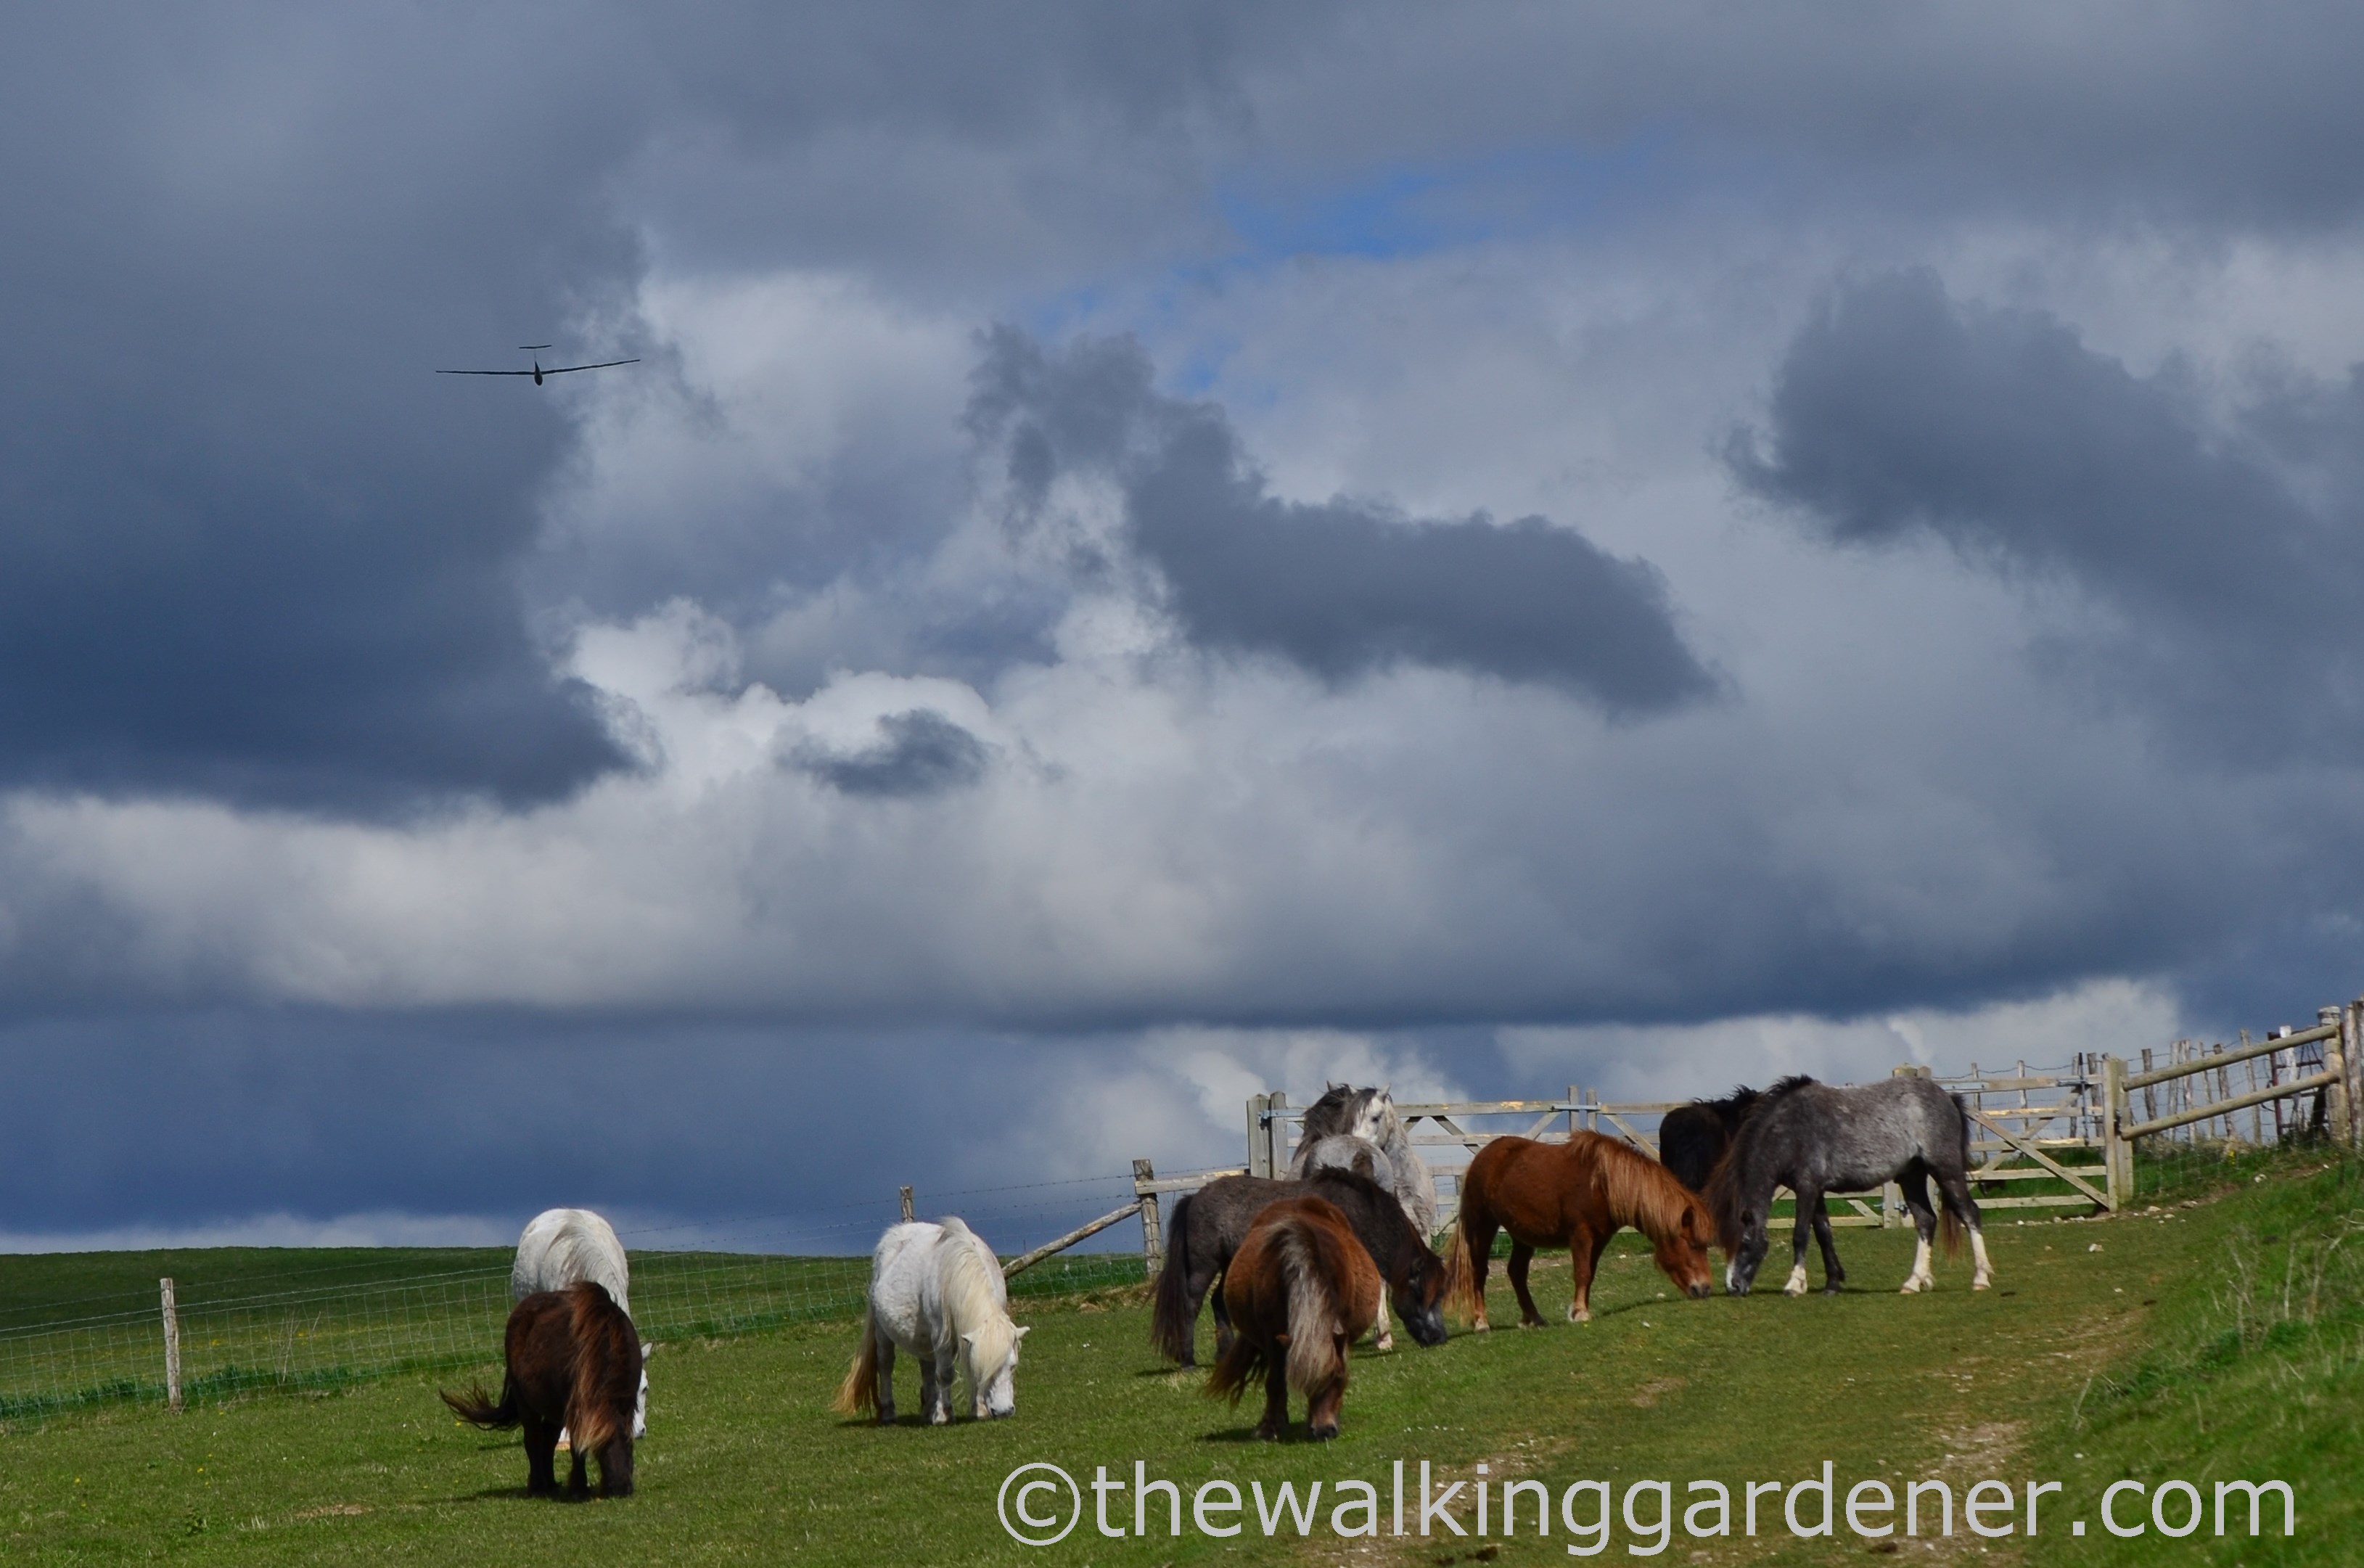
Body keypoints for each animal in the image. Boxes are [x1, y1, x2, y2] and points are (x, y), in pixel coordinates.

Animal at [442, 1282, 645, 1499]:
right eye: (601, 1446)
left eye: (629, 1443)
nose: (621, 1489)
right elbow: (576, 1447)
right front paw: (579, 1488)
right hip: (526, 1404)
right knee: (533, 1439)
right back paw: (538, 1486)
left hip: (553, 1408)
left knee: (549, 1440)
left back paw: (551, 1483)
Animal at [832, 1217, 1027, 1425]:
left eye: (1013, 1366)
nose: (1004, 1411)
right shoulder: (942, 1336)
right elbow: (945, 1374)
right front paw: (944, 1414)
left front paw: (978, 1410)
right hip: (883, 1332)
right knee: (885, 1365)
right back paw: (889, 1413)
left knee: (926, 1367)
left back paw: (928, 1409)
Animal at [1151, 1165, 1447, 1365]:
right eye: (1420, 1292)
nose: (1440, 1338)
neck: (1355, 1212)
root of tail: (1194, 1198)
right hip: (1204, 1264)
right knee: (1192, 1304)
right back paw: (1188, 1361)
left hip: (1230, 1263)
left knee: (1217, 1301)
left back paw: (1225, 1354)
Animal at [1443, 1131, 1716, 1328]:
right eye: (1693, 1245)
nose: (1705, 1289)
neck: (1601, 1182)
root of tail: (1481, 1157)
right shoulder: (1581, 1234)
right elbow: (1582, 1273)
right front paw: (1580, 1313)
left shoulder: (1600, 1239)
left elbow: (1590, 1274)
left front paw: (1581, 1310)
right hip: (1483, 1225)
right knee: (1479, 1271)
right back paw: (1482, 1322)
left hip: (1521, 1235)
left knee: (1517, 1273)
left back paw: (1533, 1318)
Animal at [1705, 1074, 1992, 1297]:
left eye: (1743, 1242)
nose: (1733, 1287)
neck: (1790, 1132)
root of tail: (1948, 1098)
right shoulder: (1816, 1191)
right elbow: (1824, 1234)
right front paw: (1832, 1283)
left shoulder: (1807, 1188)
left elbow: (1801, 1235)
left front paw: (1795, 1284)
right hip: (1911, 1177)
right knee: (1926, 1221)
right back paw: (1914, 1282)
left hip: (1946, 1171)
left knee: (1970, 1214)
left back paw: (1981, 1278)